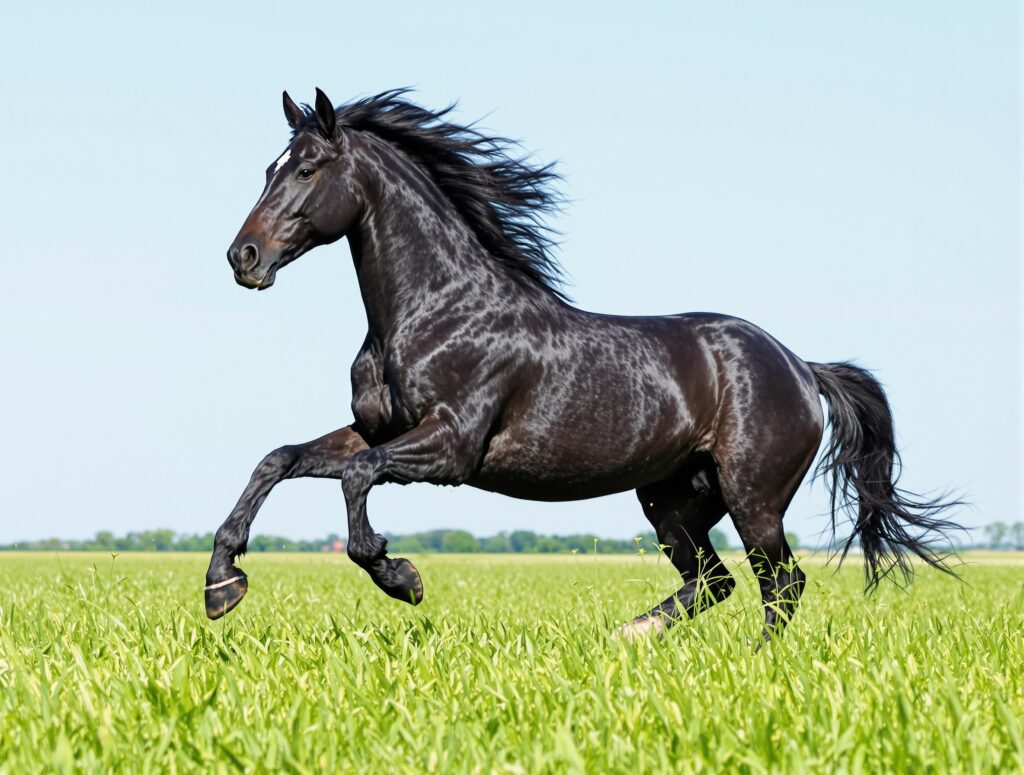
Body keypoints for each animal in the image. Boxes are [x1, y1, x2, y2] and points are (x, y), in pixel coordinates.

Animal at [205, 87, 960, 641]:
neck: (440, 310)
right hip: (672, 499)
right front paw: (222, 585)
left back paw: (753, 662)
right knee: (713, 581)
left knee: (780, 585)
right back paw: (629, 636)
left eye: (307, 168)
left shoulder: (451, 448)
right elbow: (280, 459)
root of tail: (802, 366)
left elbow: (358, 480)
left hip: (753, 497)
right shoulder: (376, 429)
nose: (243, 257)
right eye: (270, 168)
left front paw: (404, 576)